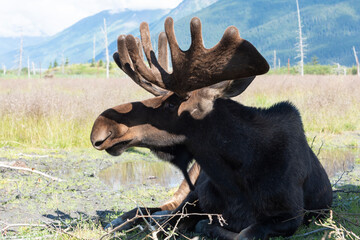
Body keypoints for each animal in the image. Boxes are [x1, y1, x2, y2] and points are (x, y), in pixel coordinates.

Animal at [90, 17, 332, 240]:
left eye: (172, 103)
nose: (101, 128)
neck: (235, 178)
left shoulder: (289, 216)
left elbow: (244, 233)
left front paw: (207, 228)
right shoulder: (194, 199)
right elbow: (168, 223)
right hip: (187, 189)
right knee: (154, 209)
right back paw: (117, 221)